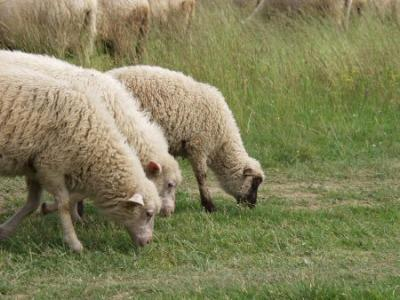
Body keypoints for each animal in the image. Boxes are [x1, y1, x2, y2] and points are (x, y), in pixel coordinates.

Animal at [0, 62, 161, 251]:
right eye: (148, 214)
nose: (148, 242)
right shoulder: (50, 167)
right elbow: (63, 204)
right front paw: (73, 243)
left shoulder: (34, 166)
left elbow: (32, 204)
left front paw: (5, 230)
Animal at [108, 64, 266, 212]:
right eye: (255, 183)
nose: (253, 205)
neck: (221, 143)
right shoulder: (198, 145)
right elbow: (201, 176)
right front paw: (209, 206)